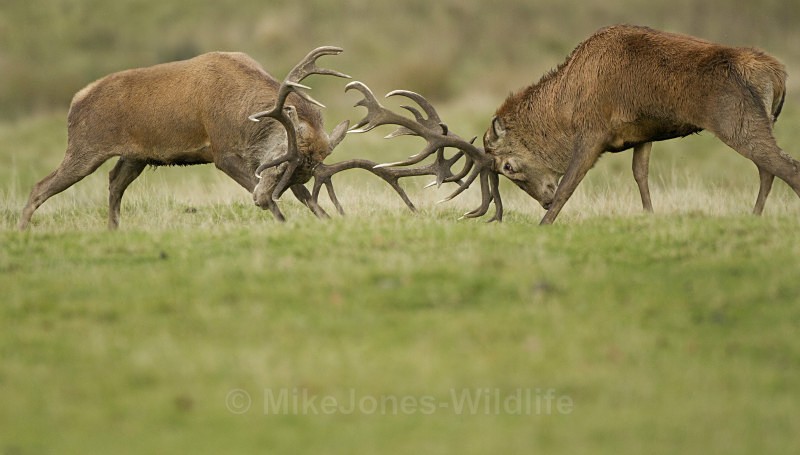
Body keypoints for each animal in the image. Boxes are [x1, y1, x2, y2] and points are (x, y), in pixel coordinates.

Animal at [18, 46, 360, 229]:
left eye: (299, 172)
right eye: (280, 166)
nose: (261, 199)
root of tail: (75, 101)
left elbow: (306, 197)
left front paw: (328, 219)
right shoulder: (222, 152)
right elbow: (265, 192)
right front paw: (283, 222)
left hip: (135, 156)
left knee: (114, 182)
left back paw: (114, 231)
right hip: (85, 147)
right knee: (40, 186)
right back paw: (22, 231)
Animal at [348, 25, 800, 224]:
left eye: (508, 166)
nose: (541, 200)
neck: (564, 108)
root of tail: (777, 74)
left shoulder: (594, 130)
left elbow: (569, 182)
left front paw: (544, 224)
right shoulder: (644, 133)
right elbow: (641, 176)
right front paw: (649, 219)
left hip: (733, 118)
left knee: (786, 166)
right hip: (756, 121)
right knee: (768, 168)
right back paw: (755, 217)